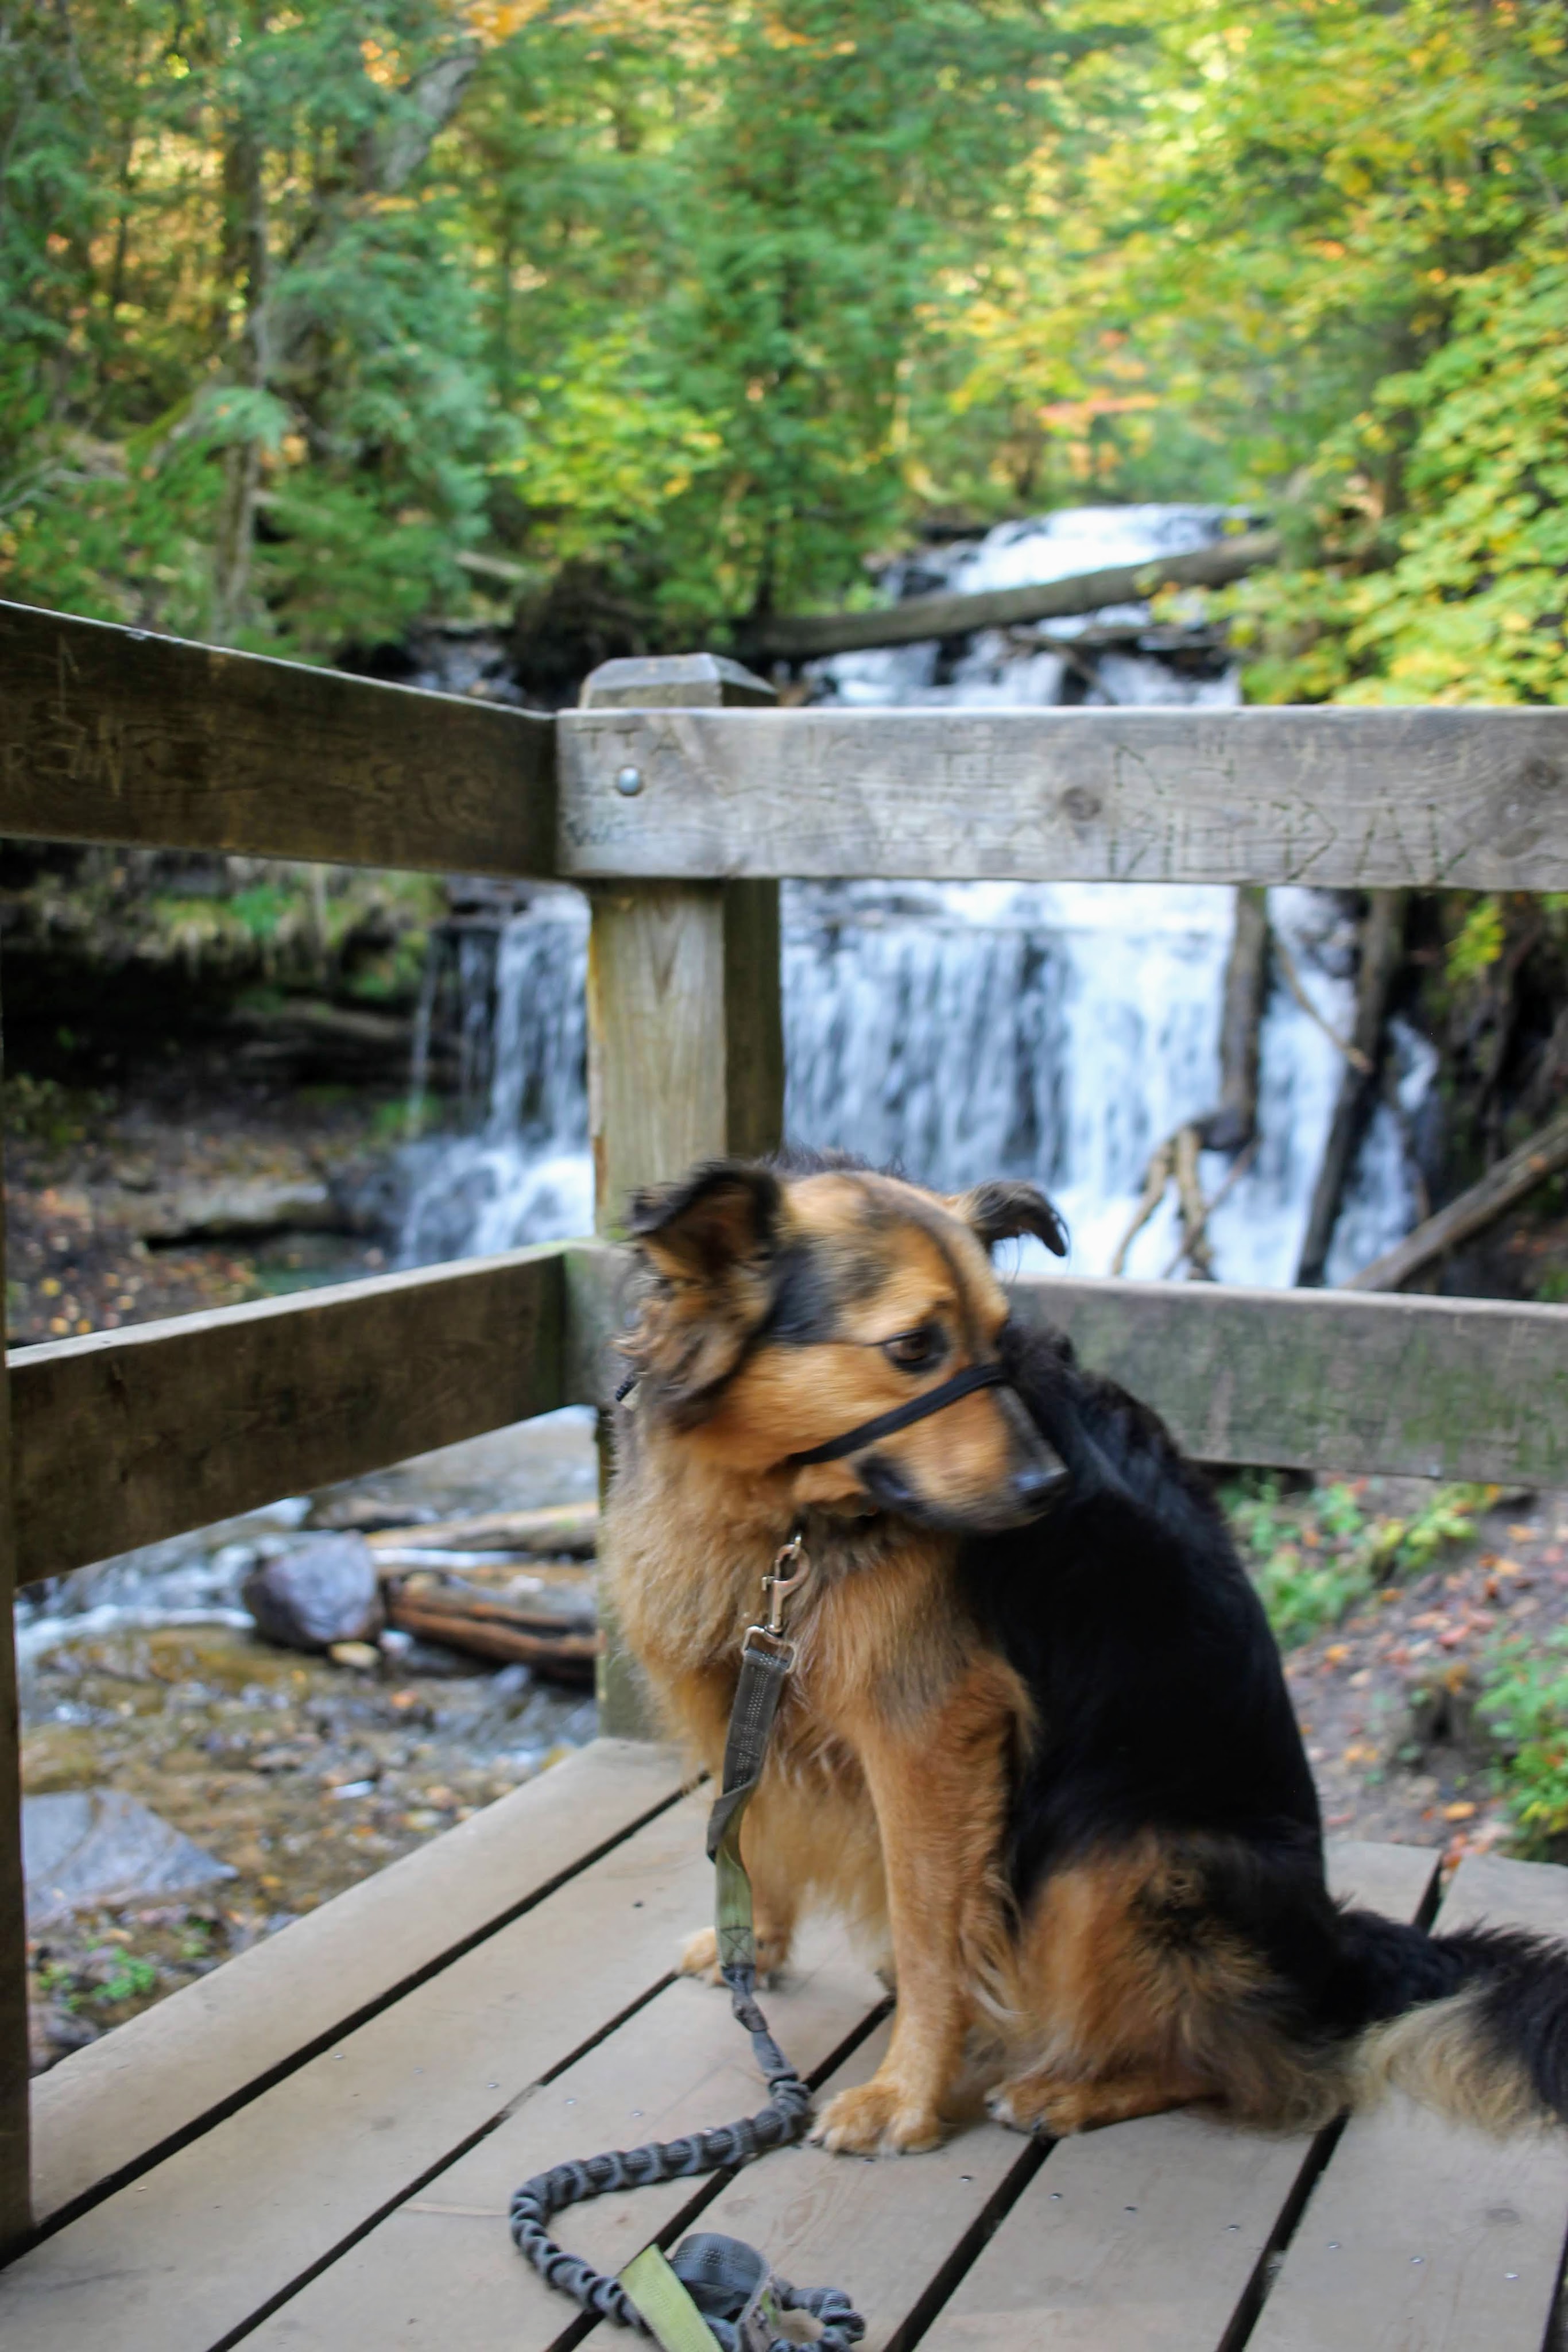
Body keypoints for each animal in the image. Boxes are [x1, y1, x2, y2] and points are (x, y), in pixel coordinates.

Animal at [603, 1151, 1568, 2157]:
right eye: (912, 1347)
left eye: (997, 1338)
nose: (1048, 1486)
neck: (782, 1516)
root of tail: (1334, 1952)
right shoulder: (740, 1680)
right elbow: (747, 1831)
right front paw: (750, 1950)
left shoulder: (926, 1734)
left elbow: (929, 1931)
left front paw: (904, 2095)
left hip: (1105, 1855)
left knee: (1237, 2068)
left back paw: (1070, 2090)